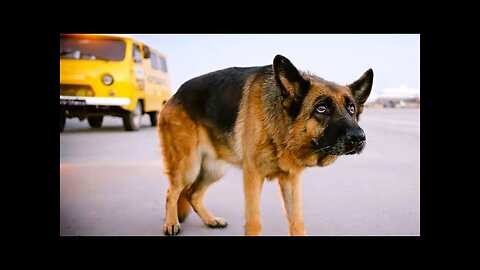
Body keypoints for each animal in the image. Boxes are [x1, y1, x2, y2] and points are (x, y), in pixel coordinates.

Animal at [159, 54, 374, 236]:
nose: (359, 137)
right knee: (172, 192)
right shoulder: (253, 177)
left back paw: (211, 220)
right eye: (321, 109)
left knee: (192, 194)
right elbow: (254, 222)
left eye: (351, 108)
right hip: (189, 166)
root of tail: (175, 94)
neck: (280, 130)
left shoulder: (291, 179)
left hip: (214, 169)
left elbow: (297, 221)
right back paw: (171, 223)